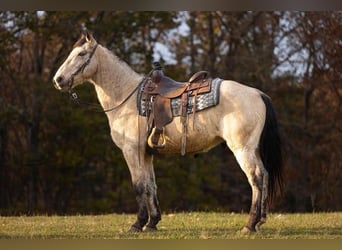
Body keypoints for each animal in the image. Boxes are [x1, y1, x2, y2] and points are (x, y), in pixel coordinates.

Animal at [52, 31, 284, 234]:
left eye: (81, 54)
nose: (58, 80)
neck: (127, 97)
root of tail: (258, 93)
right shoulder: (146, 154)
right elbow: (150, 185)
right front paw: (152, 223)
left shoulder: (131, 151)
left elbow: (139, 186)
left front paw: (137, 224)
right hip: (252, 150)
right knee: (264, 176)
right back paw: (259, 222)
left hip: (243, 149)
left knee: (256, 179)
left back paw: (249, 225)